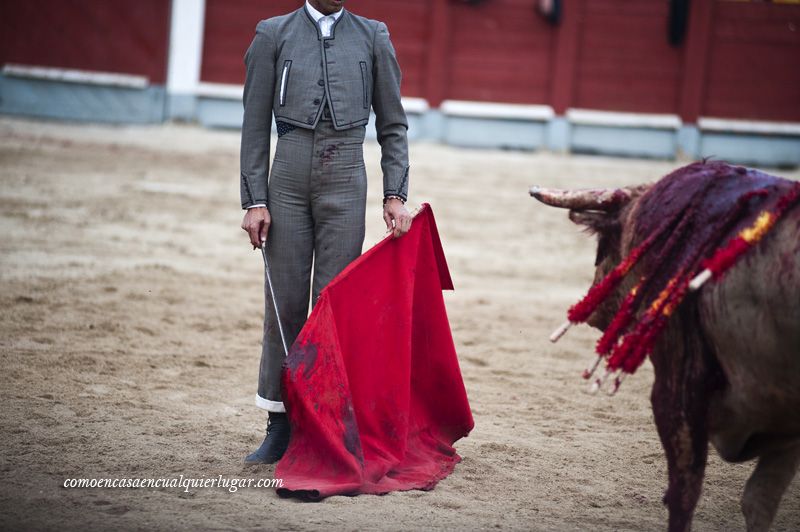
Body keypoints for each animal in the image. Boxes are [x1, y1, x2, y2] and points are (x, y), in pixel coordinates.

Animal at [532, 162, 800, 532]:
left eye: (603, 244)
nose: (594, 305)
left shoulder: (676, 386)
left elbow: (685, 494)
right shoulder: (787, 429)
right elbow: (758, 501)